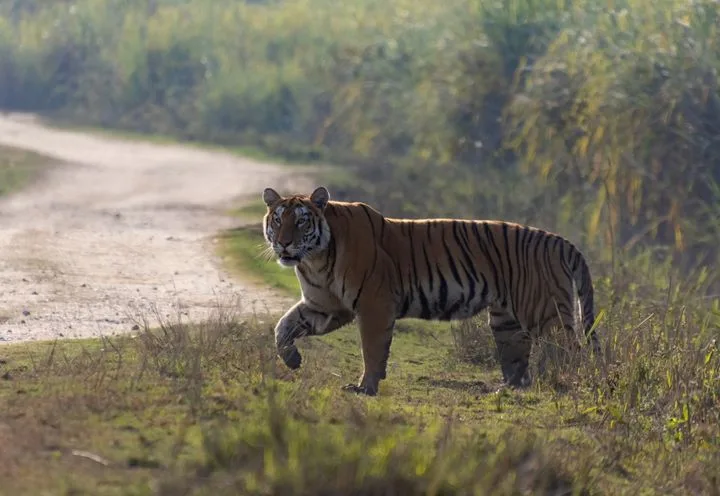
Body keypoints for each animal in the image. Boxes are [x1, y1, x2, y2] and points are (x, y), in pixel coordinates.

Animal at [262, 186, 601, 396]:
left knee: (570, 351)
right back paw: (507, 390)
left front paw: (365, 388)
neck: (315, 258)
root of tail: (561, 241)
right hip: (506, 322)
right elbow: (283, 327)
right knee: (518, 361)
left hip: (544, 312)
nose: (283, 243)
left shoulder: (374, 305)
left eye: (301, 222)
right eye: (277, 220)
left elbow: (371, 349)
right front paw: (292, 360)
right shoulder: (325, 306)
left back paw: (561, 385)